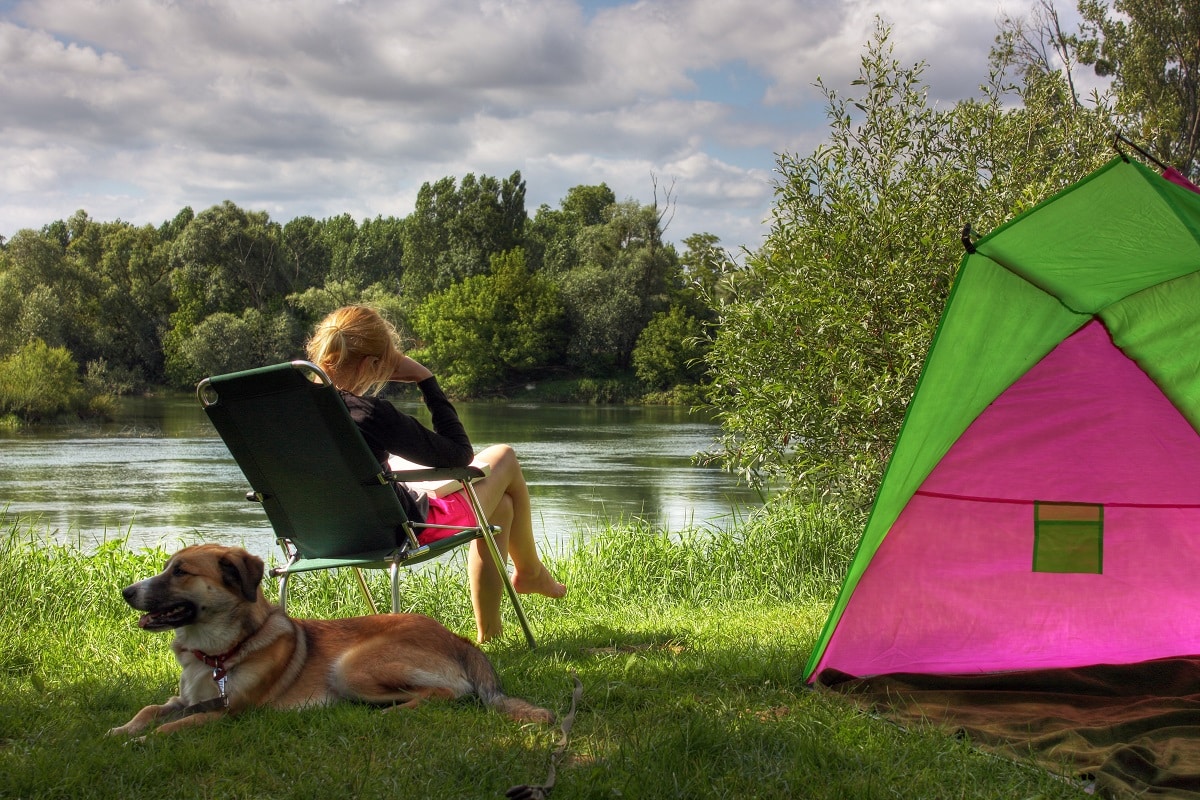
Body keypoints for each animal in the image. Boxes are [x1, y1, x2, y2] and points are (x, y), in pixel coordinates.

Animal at [106, 544, 552, 738]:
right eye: (169, 567)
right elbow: (151, 709)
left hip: (350, 668)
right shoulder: (184, 698)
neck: (216, 655)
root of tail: (456, 638)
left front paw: (142, 740)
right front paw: (122, 729)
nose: (126, 592)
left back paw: (389, 714)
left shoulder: (232, 712)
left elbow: (177, 726)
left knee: (447, 693)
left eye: (180, 572)